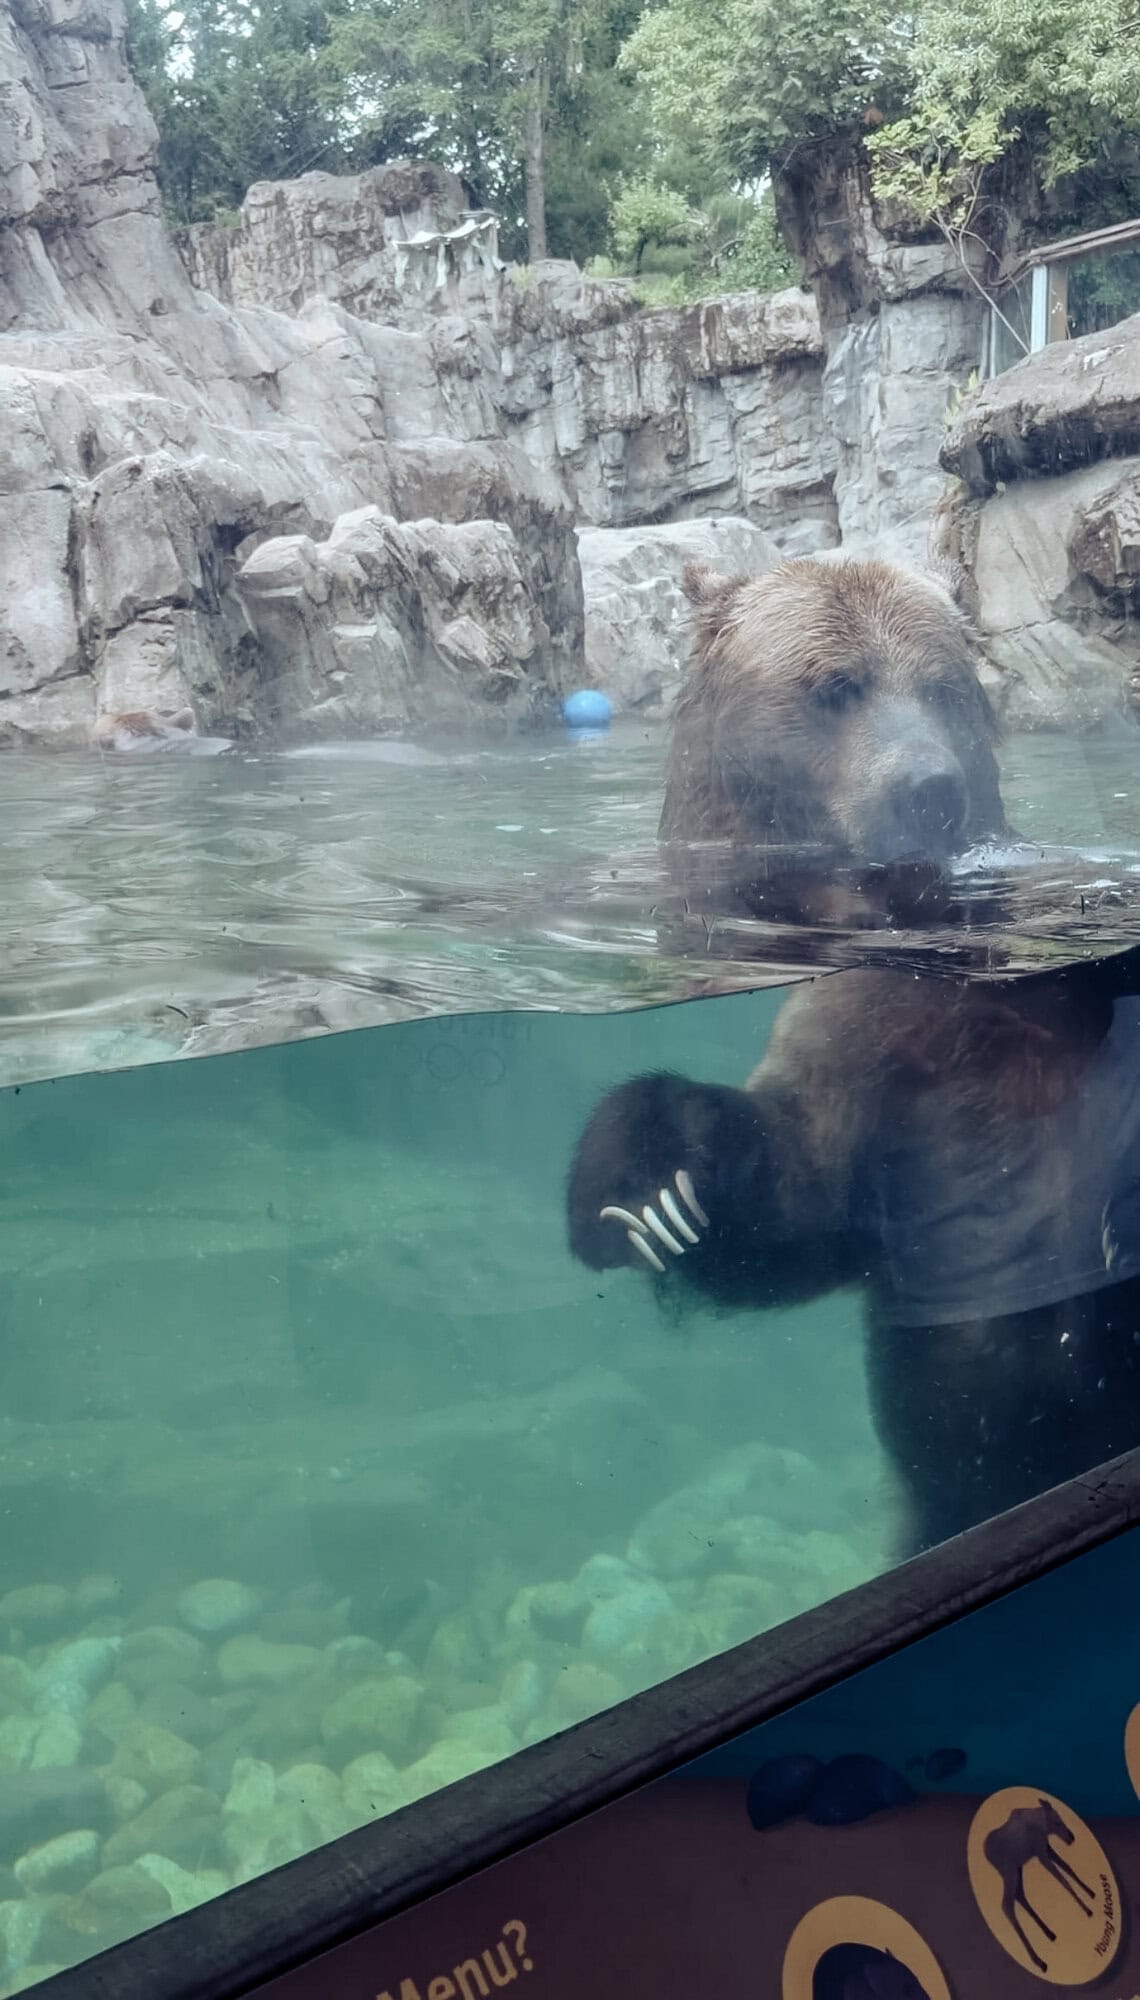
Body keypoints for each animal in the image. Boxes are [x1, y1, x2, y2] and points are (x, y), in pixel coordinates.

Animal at [566, 555, 1140, 1556]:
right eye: (837, 685)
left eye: (944, 686)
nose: (930, 789)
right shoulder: (864, 1050)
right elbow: (803, 1203)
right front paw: (651, 1184)